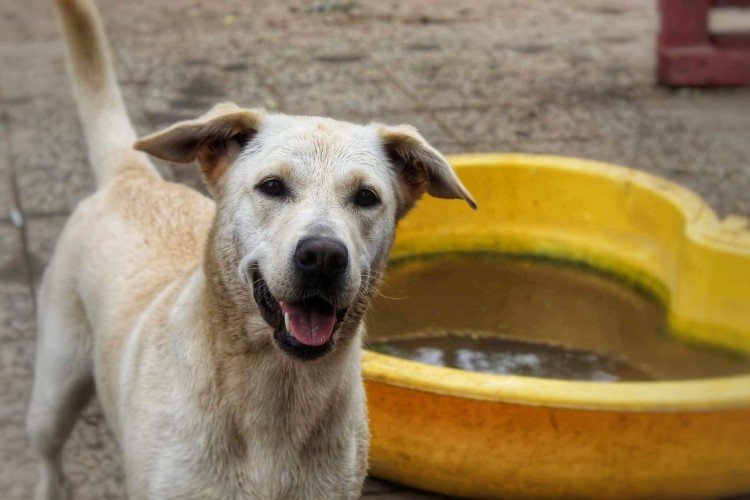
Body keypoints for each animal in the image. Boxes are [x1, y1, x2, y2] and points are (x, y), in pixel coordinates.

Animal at [26, 0, 478, 498]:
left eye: (366, 197)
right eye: (272, 186)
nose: (323, 256)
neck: (276, 394)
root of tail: (133, 177)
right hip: (54, 389)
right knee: (47, 456)